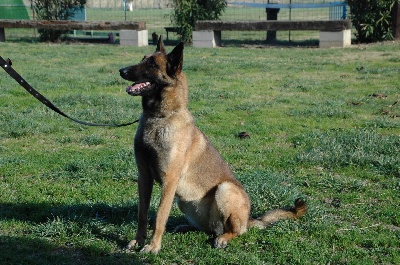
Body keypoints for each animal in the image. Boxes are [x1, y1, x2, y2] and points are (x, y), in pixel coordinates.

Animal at [119, 36, 306, 253]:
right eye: (142, 59)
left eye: (150, 64)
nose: (121, 70)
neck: (159, 117)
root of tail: (249, 220)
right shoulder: (144, 178)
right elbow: (142, 214)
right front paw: (138, 241)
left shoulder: (169, 181)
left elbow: (159, 216)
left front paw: (153, 246)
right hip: (185, 203)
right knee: (207, 229)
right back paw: (186, 227)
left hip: (225, 189)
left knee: (233, 231)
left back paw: (224, 238)